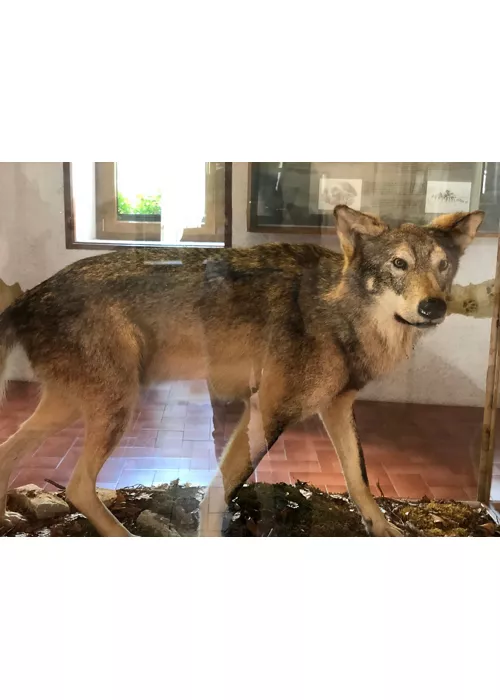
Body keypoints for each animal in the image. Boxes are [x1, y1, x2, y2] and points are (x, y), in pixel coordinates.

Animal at [0, 206, 483, 536]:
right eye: (399, 264)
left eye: (442, 266)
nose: (433, 306)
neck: (340, 313)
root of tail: (26, 297)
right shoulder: (265, 409)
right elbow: (215, 495)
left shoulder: (337, 407)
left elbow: (358, 478)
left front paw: (383, 529)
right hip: (118, 407)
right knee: (78, 486)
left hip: (76, 407)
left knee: (12, 458)